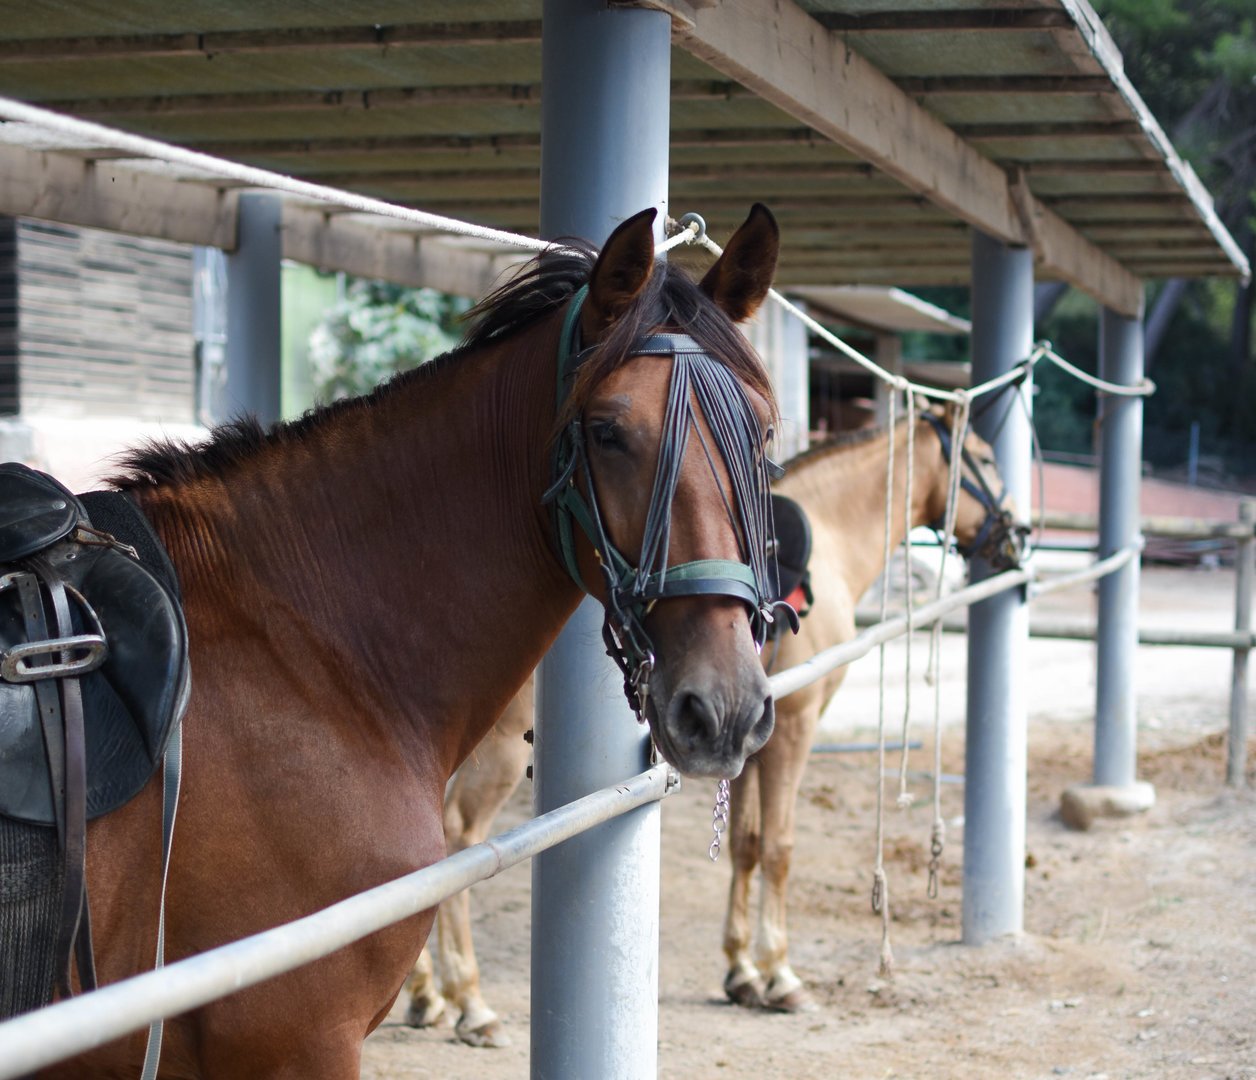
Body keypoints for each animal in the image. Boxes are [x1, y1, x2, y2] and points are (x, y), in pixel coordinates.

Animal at [401, 404, 1021, 1041]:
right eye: (987, 457)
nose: (1017, 533)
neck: (832, 538)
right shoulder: (795, 728)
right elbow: (778, 846)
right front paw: (780, 973)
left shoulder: (746, 738)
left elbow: (745, 843)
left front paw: (743, 969)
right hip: (499, 754)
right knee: (458, 839)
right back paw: (469, 1000)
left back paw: (428, 994)